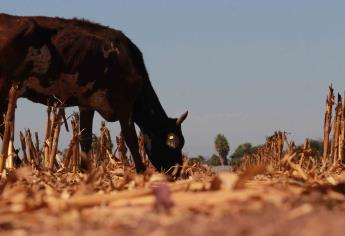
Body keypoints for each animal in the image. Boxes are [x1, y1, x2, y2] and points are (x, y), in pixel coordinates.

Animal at [0, 13, 187, 174]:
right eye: (173, 144)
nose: (178, 173)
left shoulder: (87, 104)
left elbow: (85, 139)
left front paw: (84, 172)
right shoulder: (125, 103)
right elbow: (131, 138)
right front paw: (141, 172)